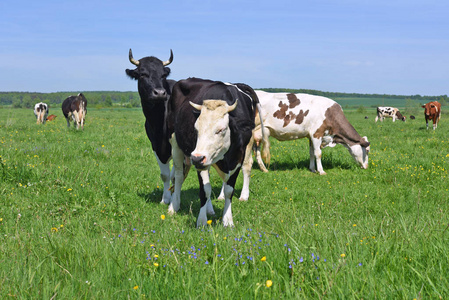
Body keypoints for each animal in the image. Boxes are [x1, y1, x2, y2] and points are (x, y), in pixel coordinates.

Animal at [125, 49, 178, 205]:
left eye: (163, 75)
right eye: (142, 74)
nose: (159, 93)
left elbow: (174, 175)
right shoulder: (155, 146)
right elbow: (165, 175)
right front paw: (165, 199)